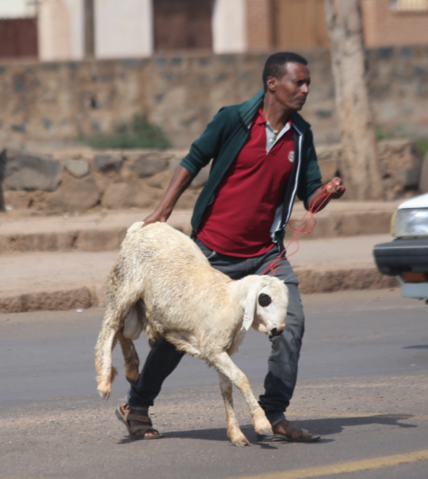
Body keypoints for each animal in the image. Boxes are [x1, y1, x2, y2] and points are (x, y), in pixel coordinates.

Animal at [95, 223, 290, 448]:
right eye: (265, 299)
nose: (278, 330)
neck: (230, 299)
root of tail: (143, 227)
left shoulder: (221, 350)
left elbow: (227, 388)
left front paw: (237, 435)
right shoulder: (213, 348)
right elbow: (241, 380)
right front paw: (262, 424)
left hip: (140, 305)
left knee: (122, 330)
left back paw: (132, 369)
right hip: (126, 284)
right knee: (110, 326)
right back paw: (104, 383)